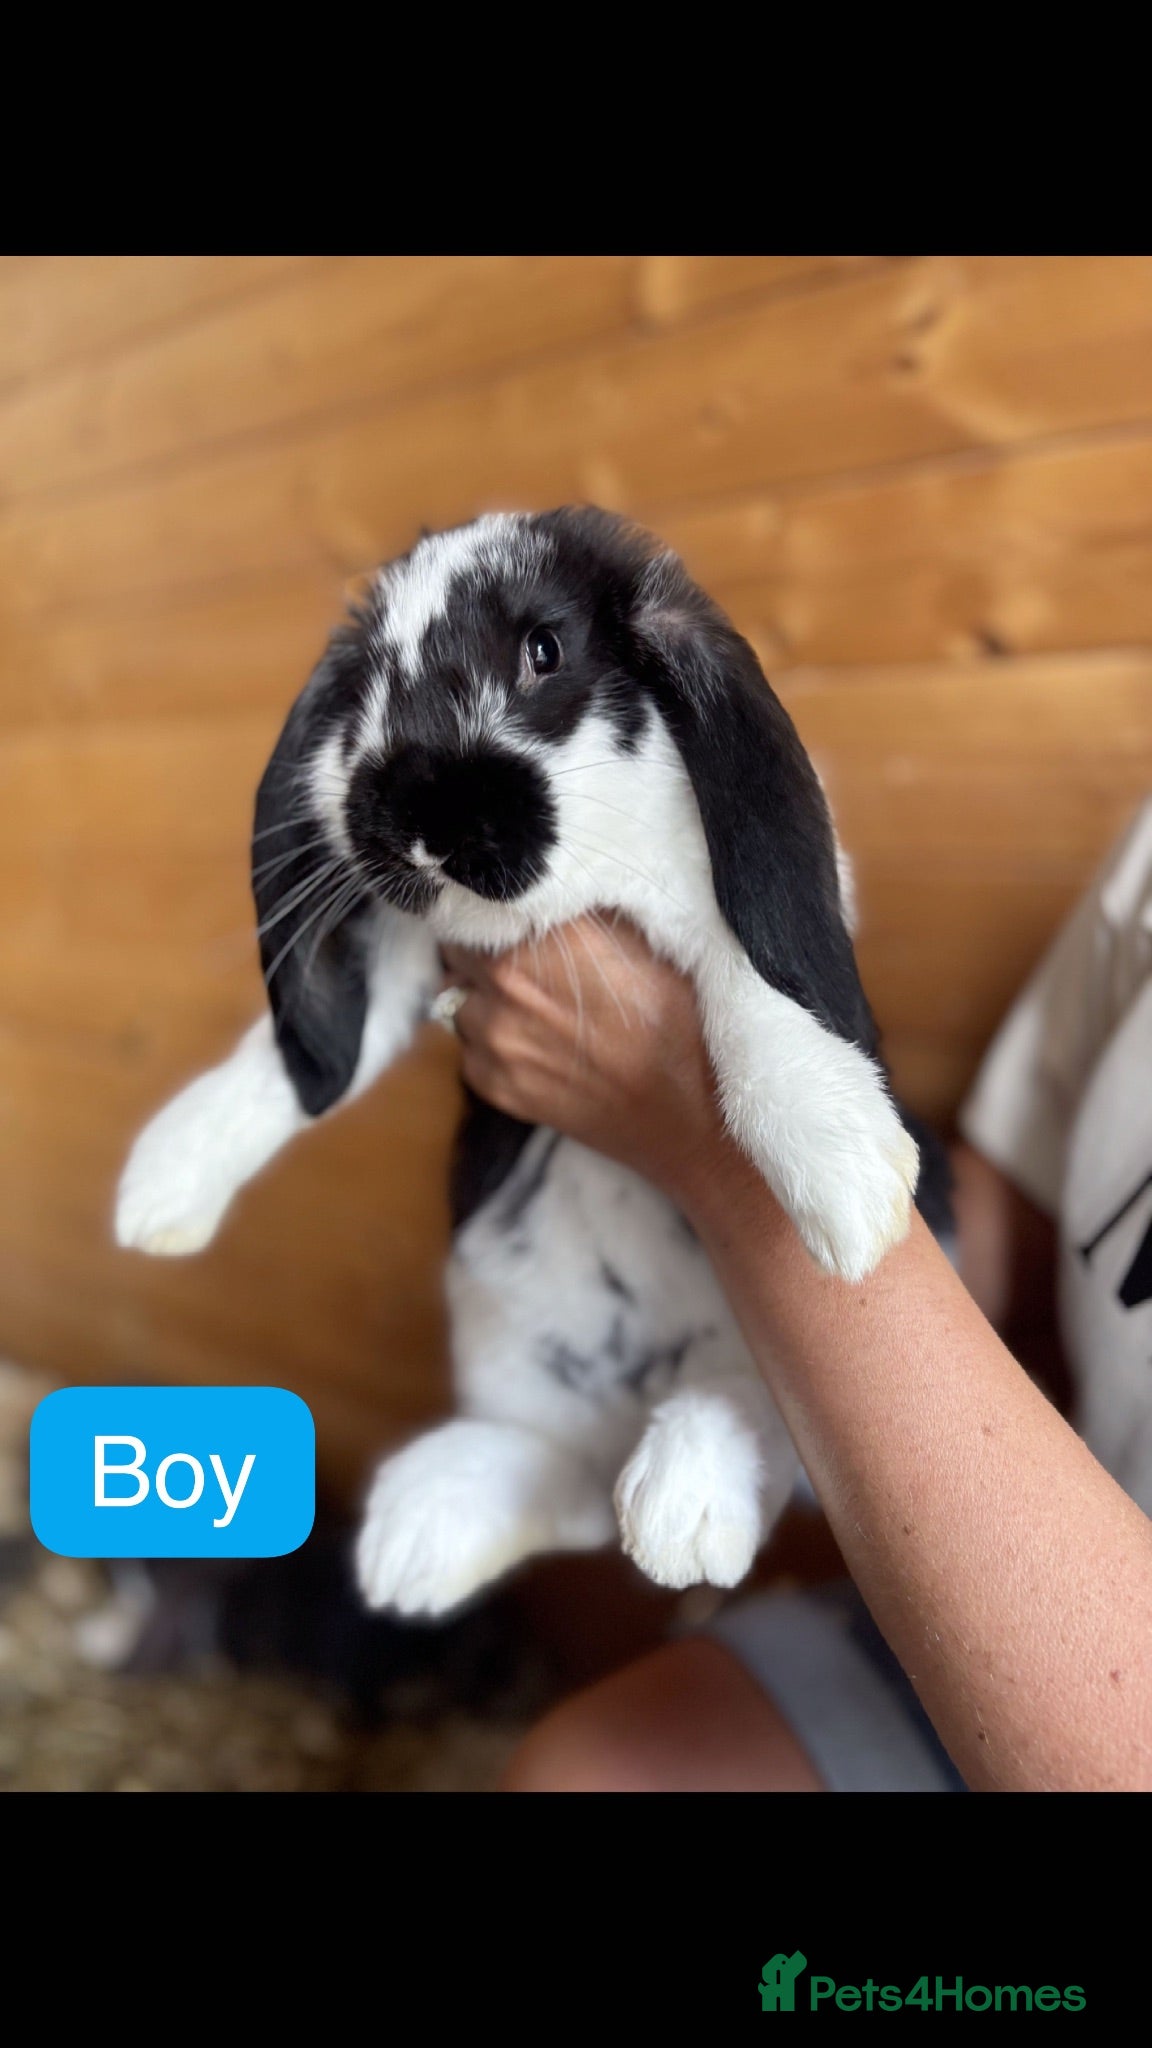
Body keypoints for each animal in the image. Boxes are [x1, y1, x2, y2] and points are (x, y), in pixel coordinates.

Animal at [116, 506, 950, 1614]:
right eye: (368, 688)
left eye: (544, 651)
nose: (419, 813)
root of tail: (640, 1383)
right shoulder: (408, 970)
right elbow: (278, 1067)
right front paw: (160, 1186)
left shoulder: (708, 912)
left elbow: (754, 990)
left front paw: (846, 1184)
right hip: (506, 1337)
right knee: (575, 1482)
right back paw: (422, 1532)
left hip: (763, 1360)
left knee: (760, 1427)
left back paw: (688, 1494)